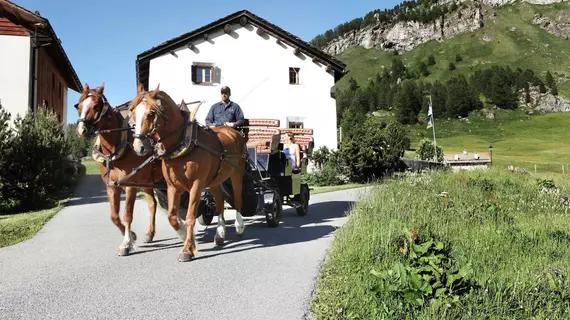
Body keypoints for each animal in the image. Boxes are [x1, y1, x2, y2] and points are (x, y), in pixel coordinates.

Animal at [74, 84, 163, 256]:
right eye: (79, 106)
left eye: (96, 106)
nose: (82, 130)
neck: (115, 152)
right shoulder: (111, 187)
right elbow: (114, 216)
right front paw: (132, 235)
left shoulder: (130, 186)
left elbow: (127, 214)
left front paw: (126, 243)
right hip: (147, 182)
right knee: (152, 204)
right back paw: (150, 233)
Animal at [130, 82, 247, 262]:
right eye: (134, 113)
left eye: (151, 113)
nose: (139, 147)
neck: (183, 144)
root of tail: (232, 131)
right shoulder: (172, 187)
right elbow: (172, 216)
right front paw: (185, 235)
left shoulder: (196, 186)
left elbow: (191, 216)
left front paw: (186, 249)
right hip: (214, 180)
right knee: (220, 203)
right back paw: (220, 234)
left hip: (237, 174)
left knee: (238, 199)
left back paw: (239, 226)